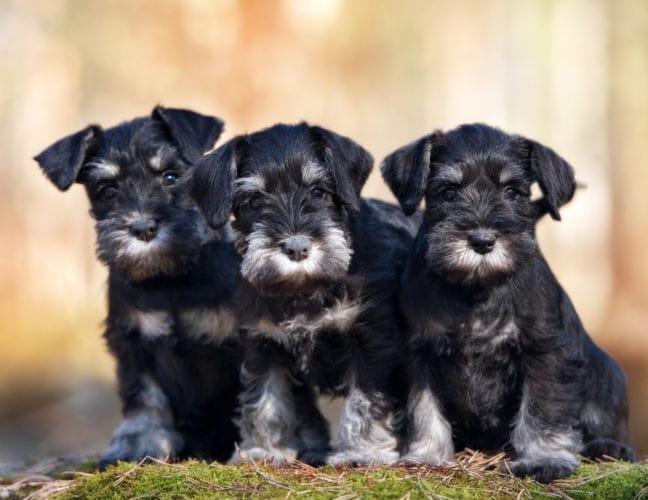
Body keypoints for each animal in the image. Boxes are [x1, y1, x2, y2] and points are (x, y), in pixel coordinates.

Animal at [33, 106, 240, 468]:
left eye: (170, 177)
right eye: (107, 189)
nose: (142, 227)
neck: (170, 279)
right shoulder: (133, 341)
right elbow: (144, 398)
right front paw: (136, 445)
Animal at [191, 122, 420, 464]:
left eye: (318, 191)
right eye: (254, 201)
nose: (296, 247)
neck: (305, 287)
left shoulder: (372, 342)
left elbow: (365, 401)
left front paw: (360, 452)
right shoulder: (264, 343)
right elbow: (266, 398)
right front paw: (265, 449)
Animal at [382, 123, 636, 482]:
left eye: (512, 192)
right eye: (448, 191)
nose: (483, 240)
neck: (476, 288)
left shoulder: (544, 350)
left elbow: (542, 409)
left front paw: (544, 459)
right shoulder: (421, 351)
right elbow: (423, 408)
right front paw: (425, 455)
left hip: (608, 376)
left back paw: (609, 447)